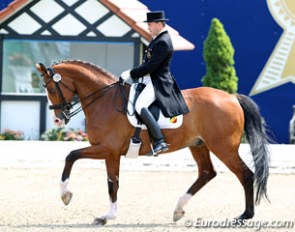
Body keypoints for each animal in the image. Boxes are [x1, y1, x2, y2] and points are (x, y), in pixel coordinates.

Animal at [35, 60, 272, 227]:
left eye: (51, 89)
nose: (57, 120)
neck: (104, 100)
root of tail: (231, 97)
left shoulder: (107, 149)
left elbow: (74, 157)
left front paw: (66, 196)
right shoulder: (110, 154)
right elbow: (112, 182)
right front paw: (107, 216)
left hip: (223, 148)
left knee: (245, 175)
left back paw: (244, 216)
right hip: (198, 145)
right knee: (207, 173)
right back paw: (178, 209)